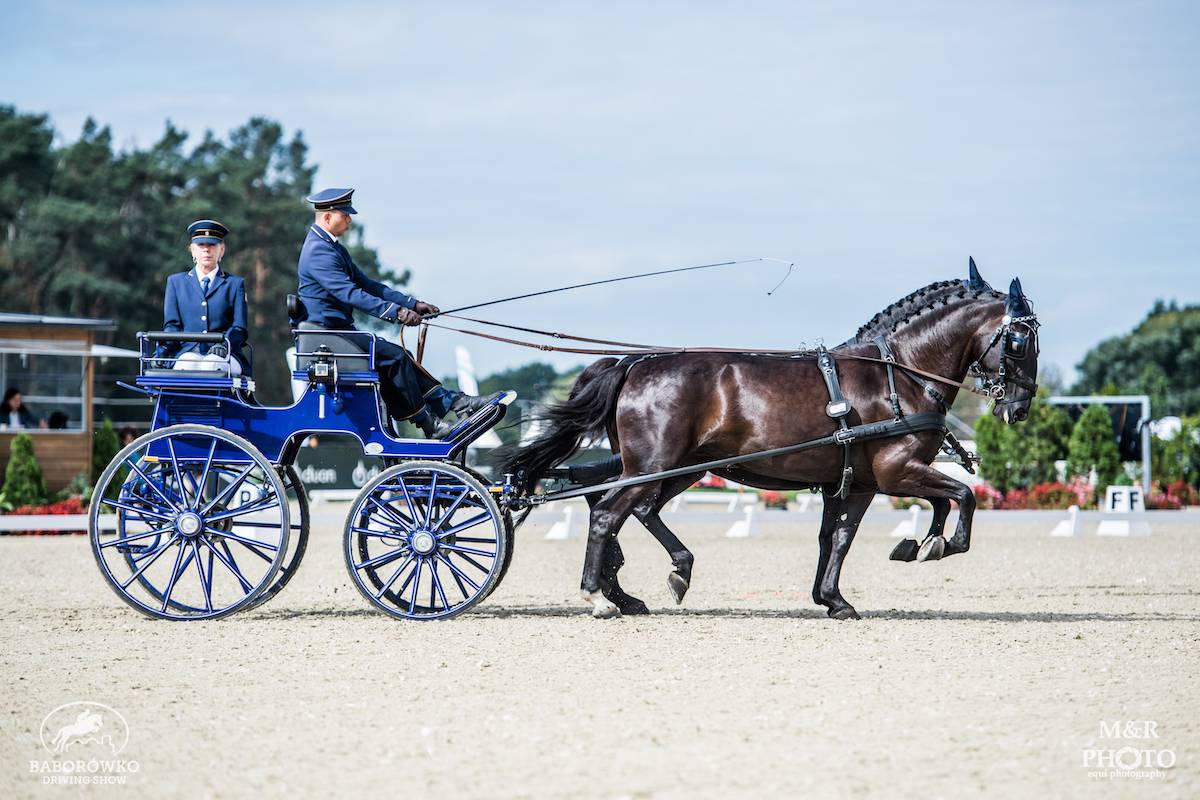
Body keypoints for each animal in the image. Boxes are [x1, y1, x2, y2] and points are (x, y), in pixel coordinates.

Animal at [503, 259, 1040, 619]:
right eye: (1020, 340)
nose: (1018, 407)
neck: (899, 374)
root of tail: (634, 364)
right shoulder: (894, 473)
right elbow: (963, 495)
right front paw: (936, 546)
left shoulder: (858, 482)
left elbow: (839, 536)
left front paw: (839, 595)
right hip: (654, 466)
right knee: (608, 515)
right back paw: (600, 596)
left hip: (679, 468)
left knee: (631, 511)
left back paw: (660, 578)